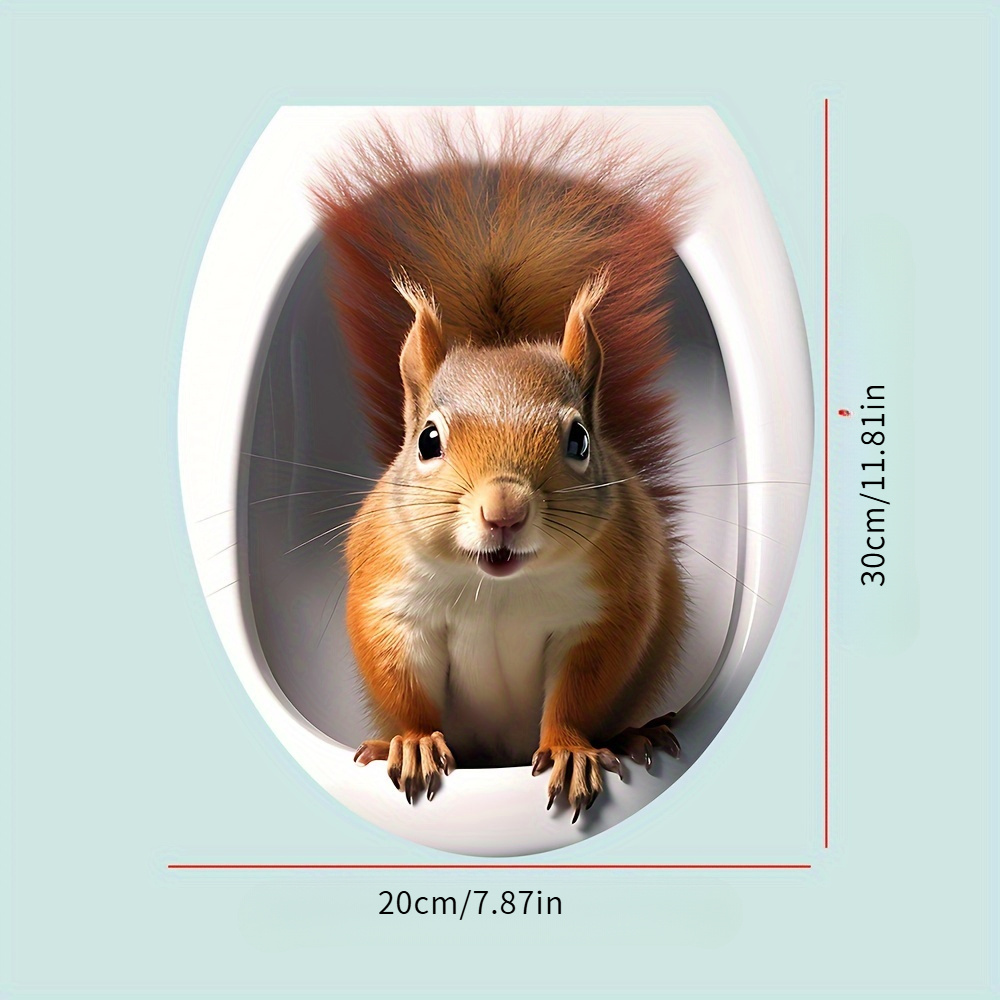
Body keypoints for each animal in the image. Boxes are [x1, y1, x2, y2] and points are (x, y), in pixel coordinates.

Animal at [309, 111, 692, 821]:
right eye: (428, 440)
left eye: (580, 440)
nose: (505, 510)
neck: (497, 587)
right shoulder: (393, 601)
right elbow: (403, 682)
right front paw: (413, 742)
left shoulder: (608, 608)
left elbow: (579, 694)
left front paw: (571, 750)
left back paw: (637, 734)